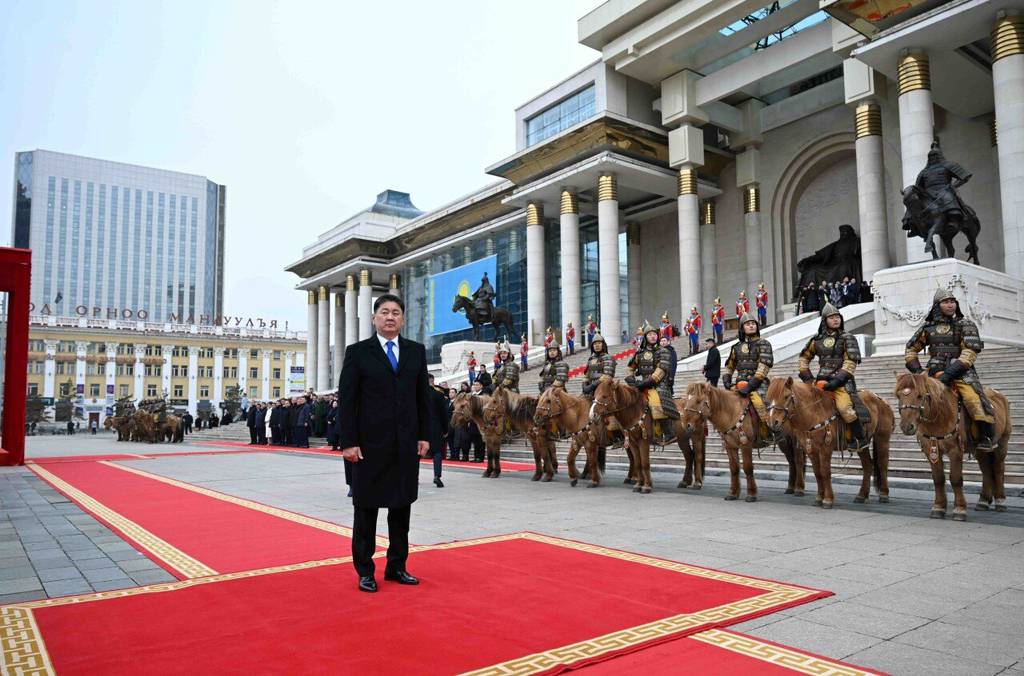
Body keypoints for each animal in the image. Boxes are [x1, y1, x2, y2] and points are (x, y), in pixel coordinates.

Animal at [897, 372, 1007, 520]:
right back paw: (983, 501)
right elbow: (938, 478)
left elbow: (955, 479)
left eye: (920, 395)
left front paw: (959, 509)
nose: (906, 427)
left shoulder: (955, 451)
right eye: (898, 396)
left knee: (998, 469)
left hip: (1002, 444)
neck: (939, 417)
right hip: (980, 451)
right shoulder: (932, 451)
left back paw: (1000, 501)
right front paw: (938, 507)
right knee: (986, 471)